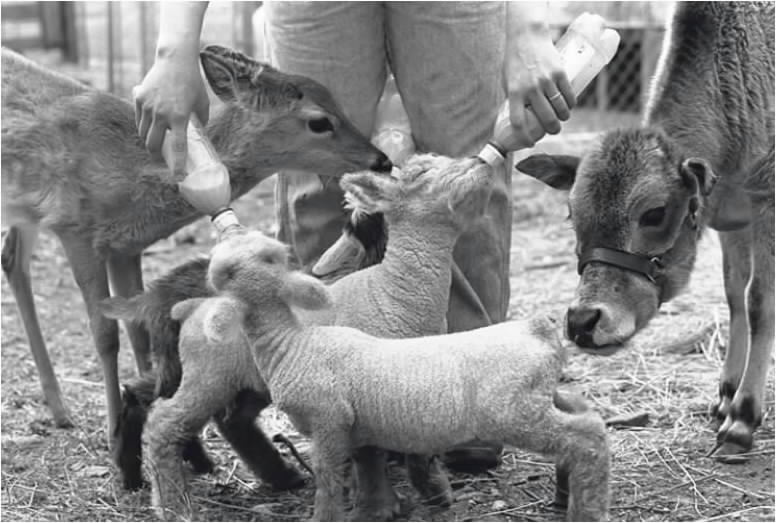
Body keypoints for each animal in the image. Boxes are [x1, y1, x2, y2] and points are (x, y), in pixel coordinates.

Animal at [107, 154, 498, 518]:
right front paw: (380, 505)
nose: (479, 160)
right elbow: (369, 453)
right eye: (422, 172)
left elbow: (412, 443)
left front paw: (431, 491)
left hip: (248, 379)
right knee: (164, 424)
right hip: (208, 375)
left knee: (230, 421)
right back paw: (172, 504)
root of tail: (193, 307)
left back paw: (279, 476)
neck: (393, 291)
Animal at [186, 229, 611, 522]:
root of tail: (537, 329)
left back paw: (585, 510)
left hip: (514, 411)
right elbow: (365, 464)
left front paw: (327, 515)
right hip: (539, 398)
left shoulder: (329, 421)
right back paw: (567, 494)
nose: (211, 266)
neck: (292, 343)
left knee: (584, 437)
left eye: (231, 270)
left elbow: (328, 478)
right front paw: (383, 507)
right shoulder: (356, 426)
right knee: (586, 416)